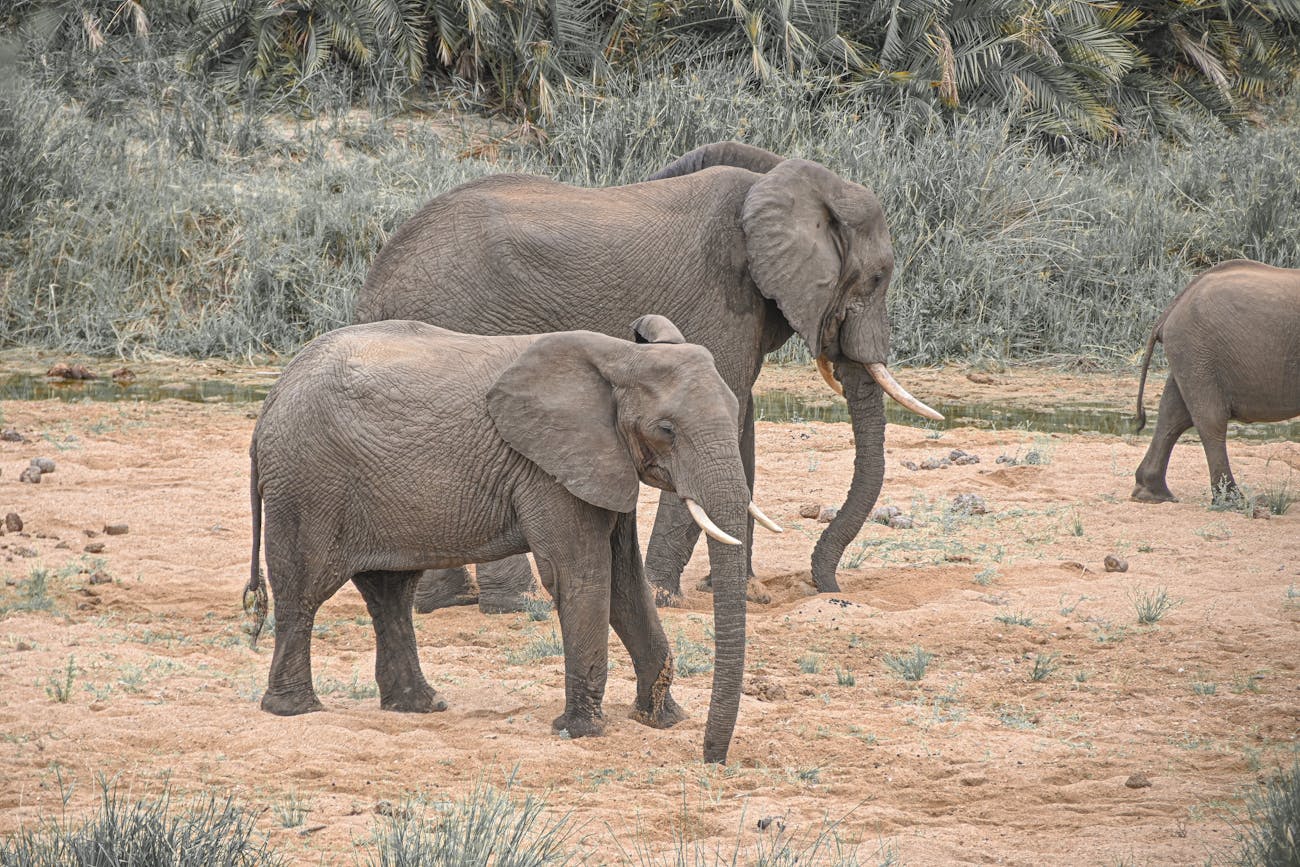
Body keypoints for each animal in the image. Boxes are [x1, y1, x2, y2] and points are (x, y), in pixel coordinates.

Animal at [244, 315, 769, 764]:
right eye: (667, 430)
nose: (711, 758)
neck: (620, 357)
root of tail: (272, 398)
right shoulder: (546, 468)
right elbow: (581, 577)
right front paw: (581, 731)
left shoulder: (603, 462)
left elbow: (624, 584)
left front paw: (662, 720)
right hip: (306, 483)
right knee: (305, 591)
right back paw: (297, 709)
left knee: (389, 592)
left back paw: (421, 705)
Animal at [356, 139, 941, 608]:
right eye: (877, 277)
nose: (830, 589)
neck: (776, 177)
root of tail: (377, 280)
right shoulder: (720, 297)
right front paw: (664, 596)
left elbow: (739, 425)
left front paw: (743, 589)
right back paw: (513, 605)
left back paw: (444, 603)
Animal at [1128, 257, 1300, 501]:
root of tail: (1171, 308)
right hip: (1200, 352)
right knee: (1211, 419)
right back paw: (1232, 499)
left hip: (1191, 354)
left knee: (1172, 413)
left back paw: (1152, 494)